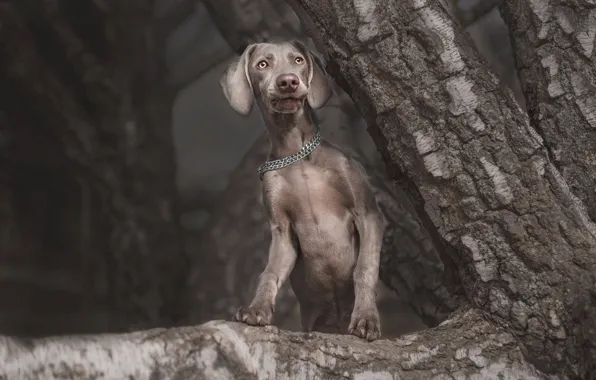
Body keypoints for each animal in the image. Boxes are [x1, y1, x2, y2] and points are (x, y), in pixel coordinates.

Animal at [219, 39, 382, 342]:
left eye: (298, 60)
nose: (288, 82)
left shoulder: (368, 214)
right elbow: (269, 272)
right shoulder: (282, 231)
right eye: (262, 64)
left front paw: (366, 320)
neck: (297, 155)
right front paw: (256, 310)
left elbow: (364, 268)